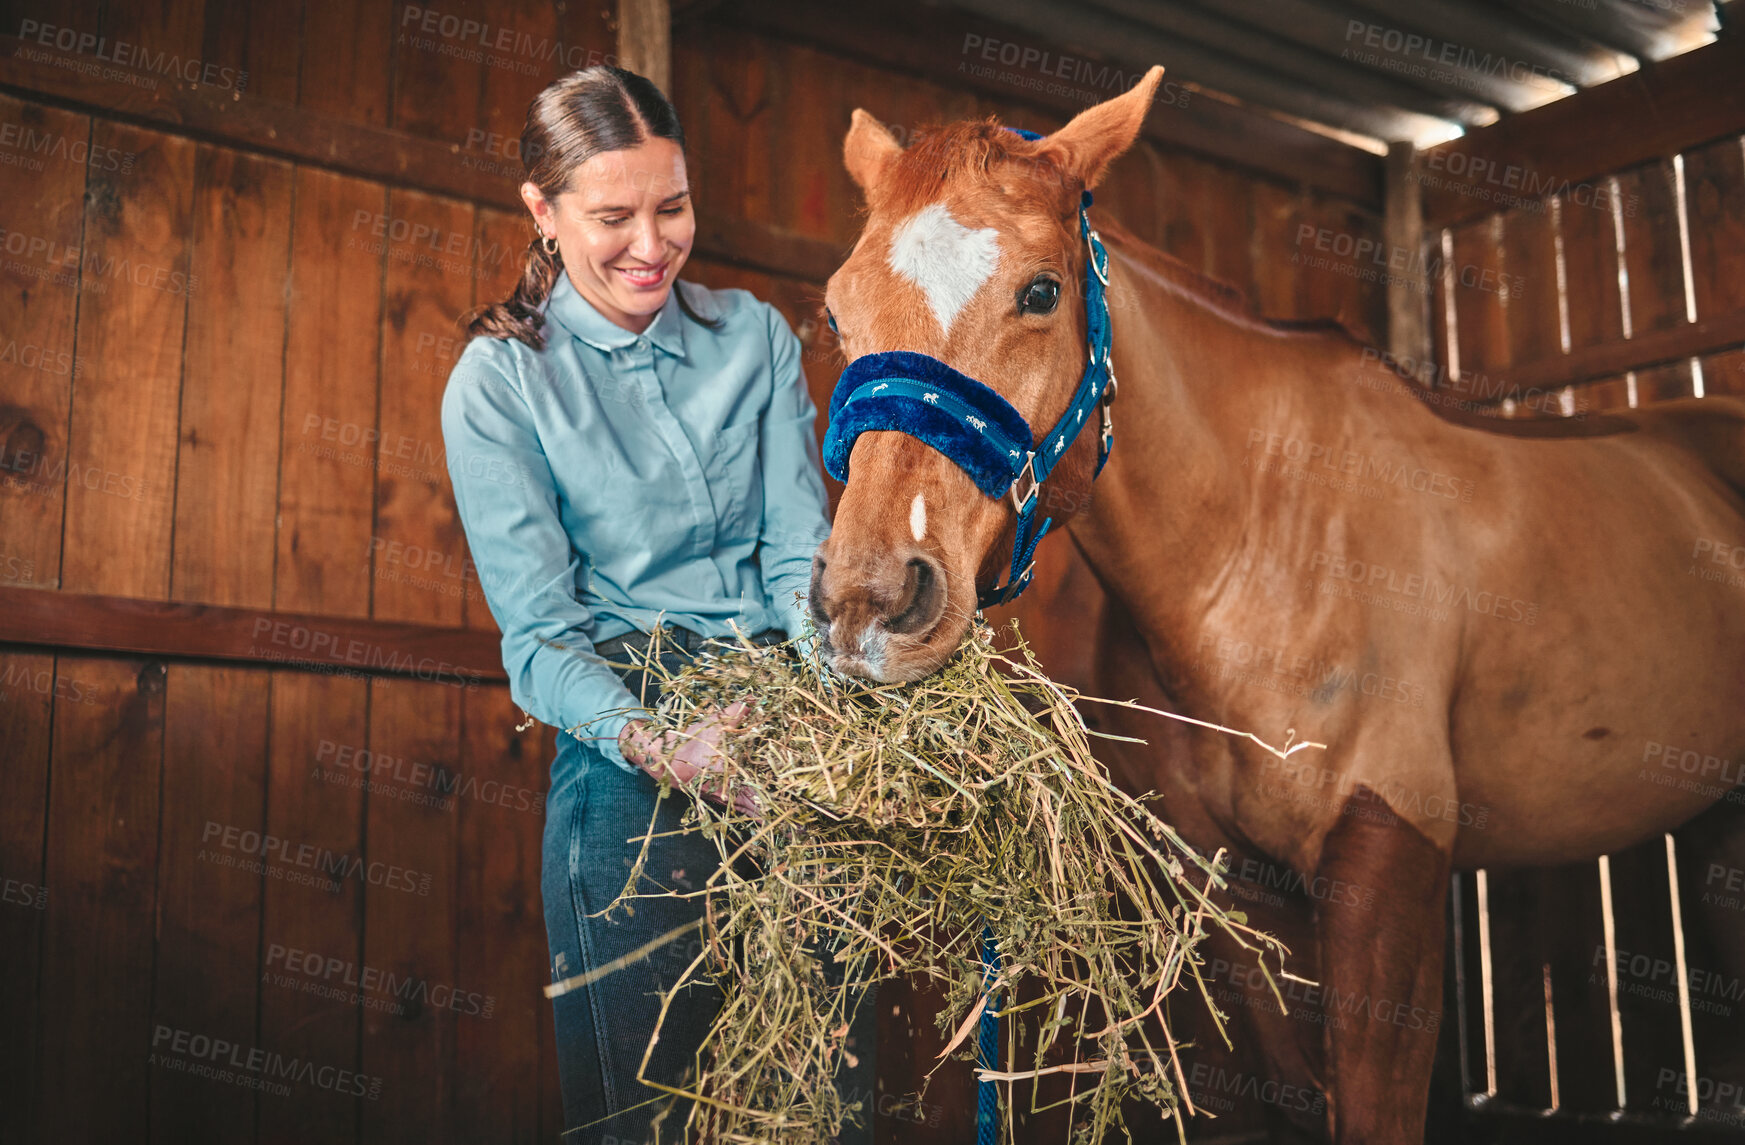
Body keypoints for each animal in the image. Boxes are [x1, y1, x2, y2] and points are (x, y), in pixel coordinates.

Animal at [802, 67, 1745, 1138]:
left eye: (1040, 292)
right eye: (836, 313)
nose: (869, 601)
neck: (1261, 540)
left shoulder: (1385, 861)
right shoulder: (1237, 891)